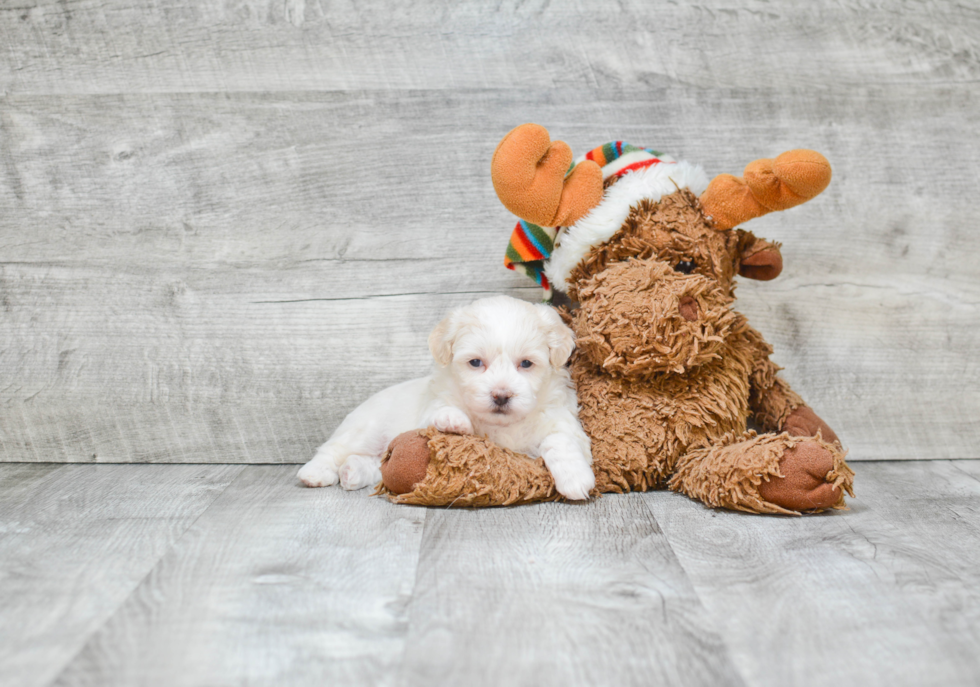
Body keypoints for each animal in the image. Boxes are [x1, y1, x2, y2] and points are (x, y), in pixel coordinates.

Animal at [294, 296, 592, 500]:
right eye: (475, 362)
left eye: (526, 364)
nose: (501, 395)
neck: (502, 425)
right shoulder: (429, 410)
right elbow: (440, 411)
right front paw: (453, 419)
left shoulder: (564, 423)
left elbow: (559, 440)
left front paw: (575, 477)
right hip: (365, 428)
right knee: (334, 449)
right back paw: (315, 473)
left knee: (375, 464)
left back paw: (352, 471)